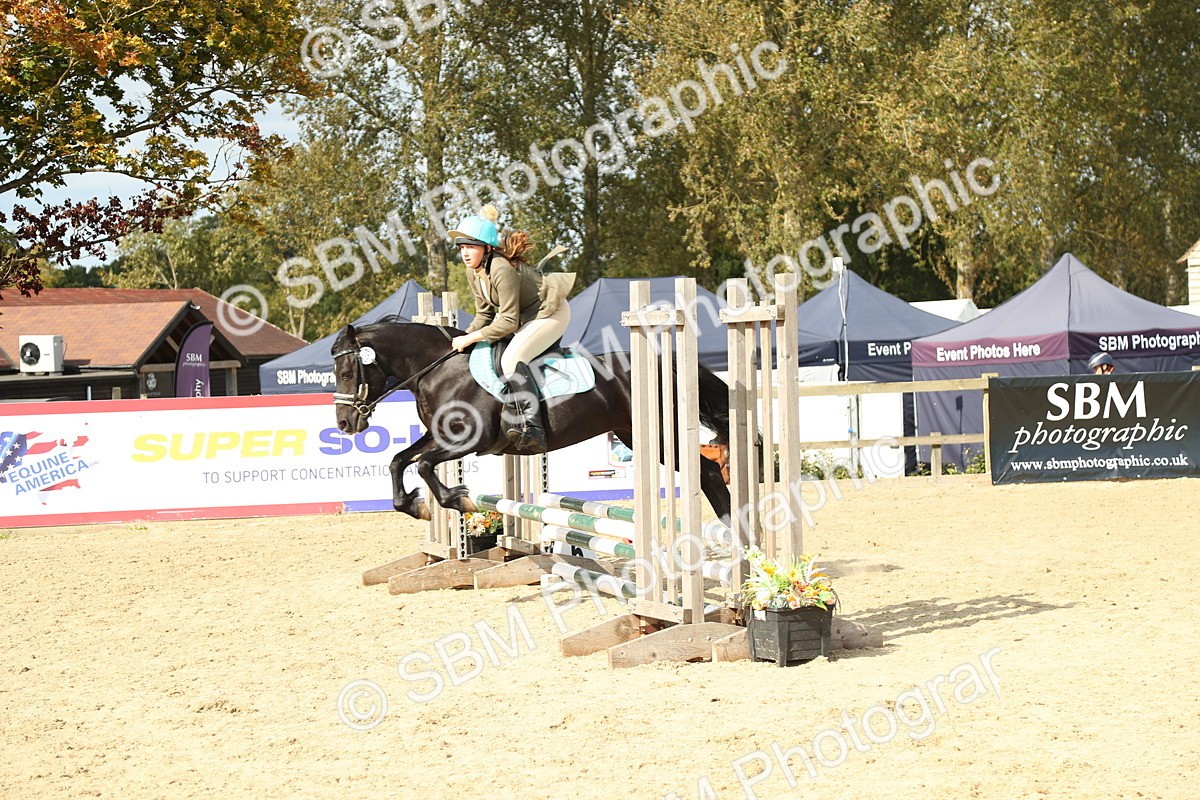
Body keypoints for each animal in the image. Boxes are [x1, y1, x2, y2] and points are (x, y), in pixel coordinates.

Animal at [330, 320, 733, 525]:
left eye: (347, 371)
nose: (345, 424)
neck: (439, 369)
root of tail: (666, 361)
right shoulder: (439, 436)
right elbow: (399, 460)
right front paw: (416, 506)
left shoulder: (468, 441)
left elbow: (425, 466)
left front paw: (459, 502)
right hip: (635, 435)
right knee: (706, 473)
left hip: (663, 434)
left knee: (709, 472)